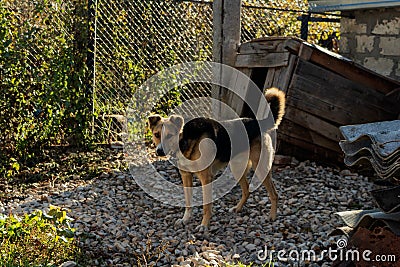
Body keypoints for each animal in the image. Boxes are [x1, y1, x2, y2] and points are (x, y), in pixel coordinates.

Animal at [148, 88, 286, 232]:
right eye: (156, 135)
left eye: (170, 135)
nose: (159, 151)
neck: (185, 139)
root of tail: (258, 122)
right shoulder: (186, 177)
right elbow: (188, 202)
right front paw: (185, 219)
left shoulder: (206, 178)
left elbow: (206, 206)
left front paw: (204, 225)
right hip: (237, 169)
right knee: (247, 190)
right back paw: (238, 208)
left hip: (260, 167)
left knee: (274, 194)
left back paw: (272, 216)